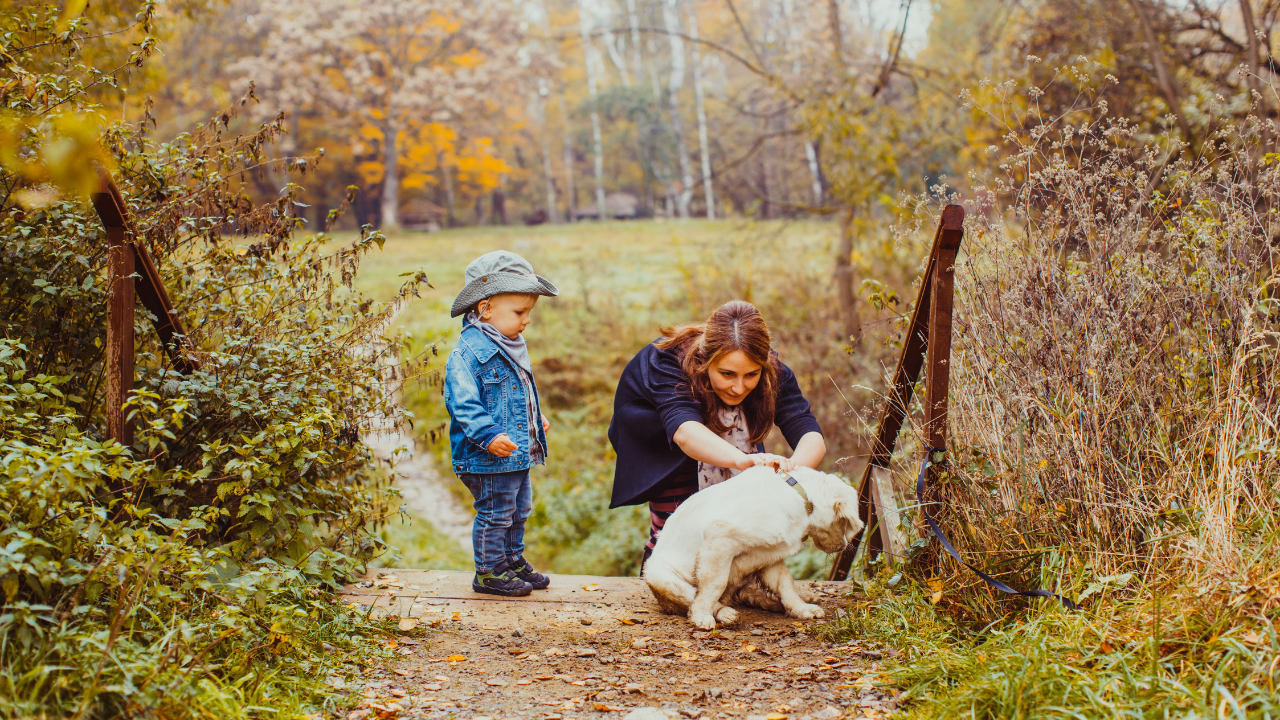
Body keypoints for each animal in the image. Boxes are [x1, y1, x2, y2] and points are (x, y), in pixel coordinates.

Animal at [645, 466, 865, 627]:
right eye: (845, 524)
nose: (843, 546)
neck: (799, 498)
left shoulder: (770, 553)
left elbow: (785, 583)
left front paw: (801, 609)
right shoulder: (718, 543)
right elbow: (713, 585)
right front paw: (701, 616)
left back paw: (770, 603)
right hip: (660, 577)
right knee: (694, 597)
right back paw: (724, 613)